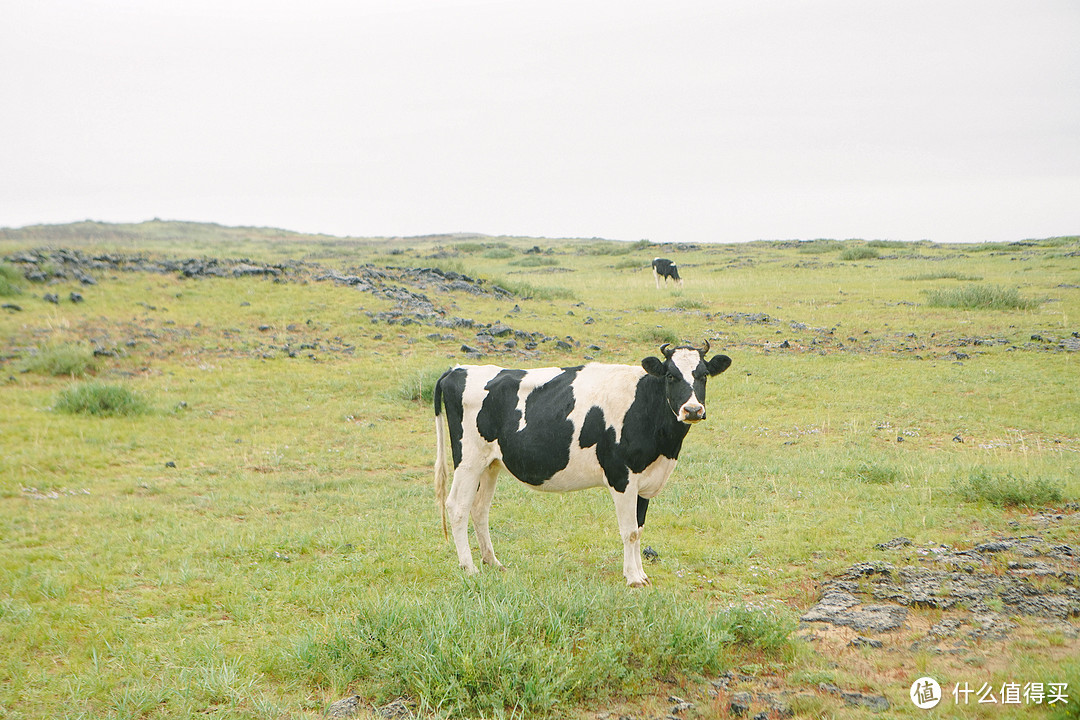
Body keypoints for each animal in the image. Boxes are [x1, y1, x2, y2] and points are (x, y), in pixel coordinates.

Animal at [432, 343, 734, 587]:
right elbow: (629, 532)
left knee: (480, 509)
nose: (692, 410)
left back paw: (492, 562)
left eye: (703, 375)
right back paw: (469, 567)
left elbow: (639, 529)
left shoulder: (644, 479)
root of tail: (457, 369)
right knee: (457, 507)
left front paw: (640, 574)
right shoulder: (621, 476)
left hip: (491, 463)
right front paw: (634, 578)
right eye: (671, 375)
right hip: (468, 460)